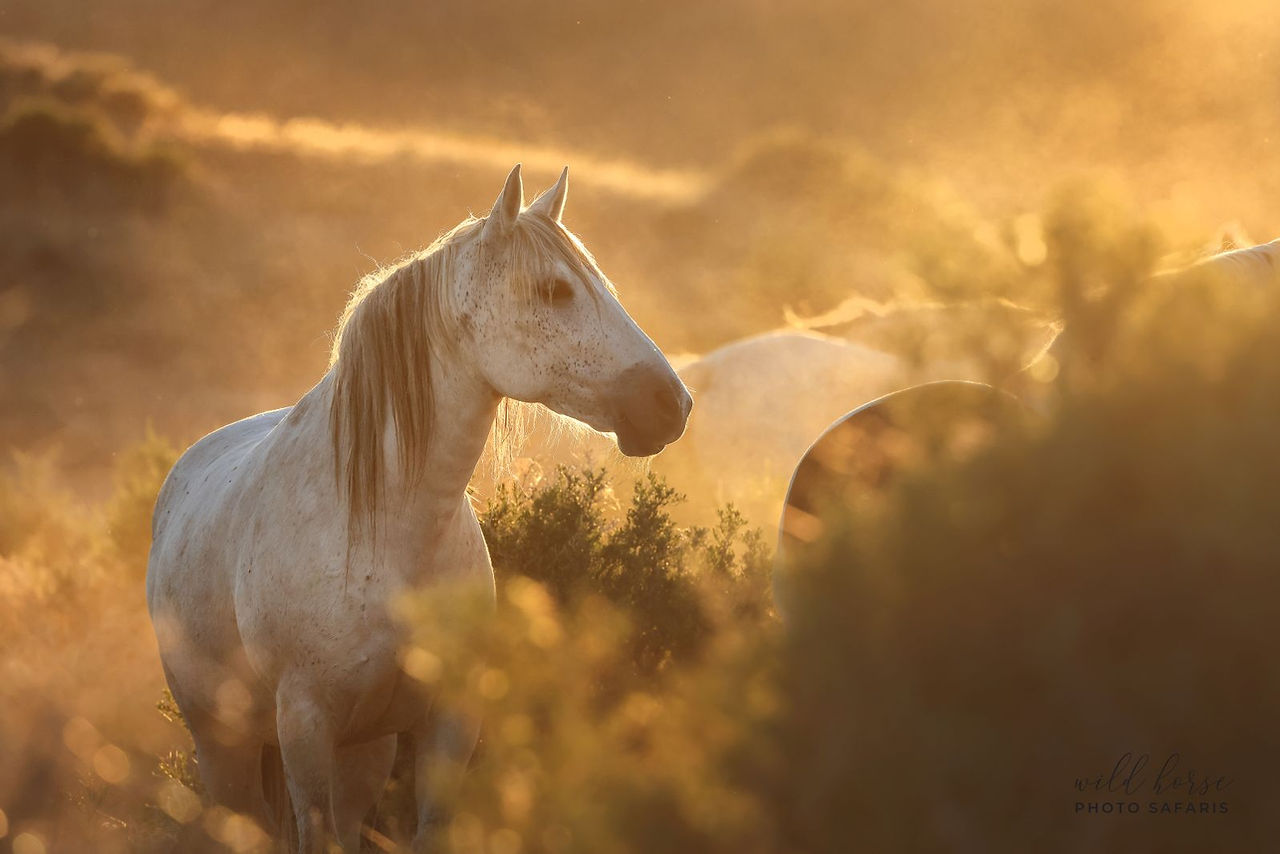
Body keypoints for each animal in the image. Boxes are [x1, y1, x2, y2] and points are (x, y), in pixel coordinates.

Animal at [146, 164, 692, 852]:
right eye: (554, 290)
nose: (671, 403)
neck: (385, 530)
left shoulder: (446, 721)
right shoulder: (305, 725)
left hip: (362, 753)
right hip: (224, 747)